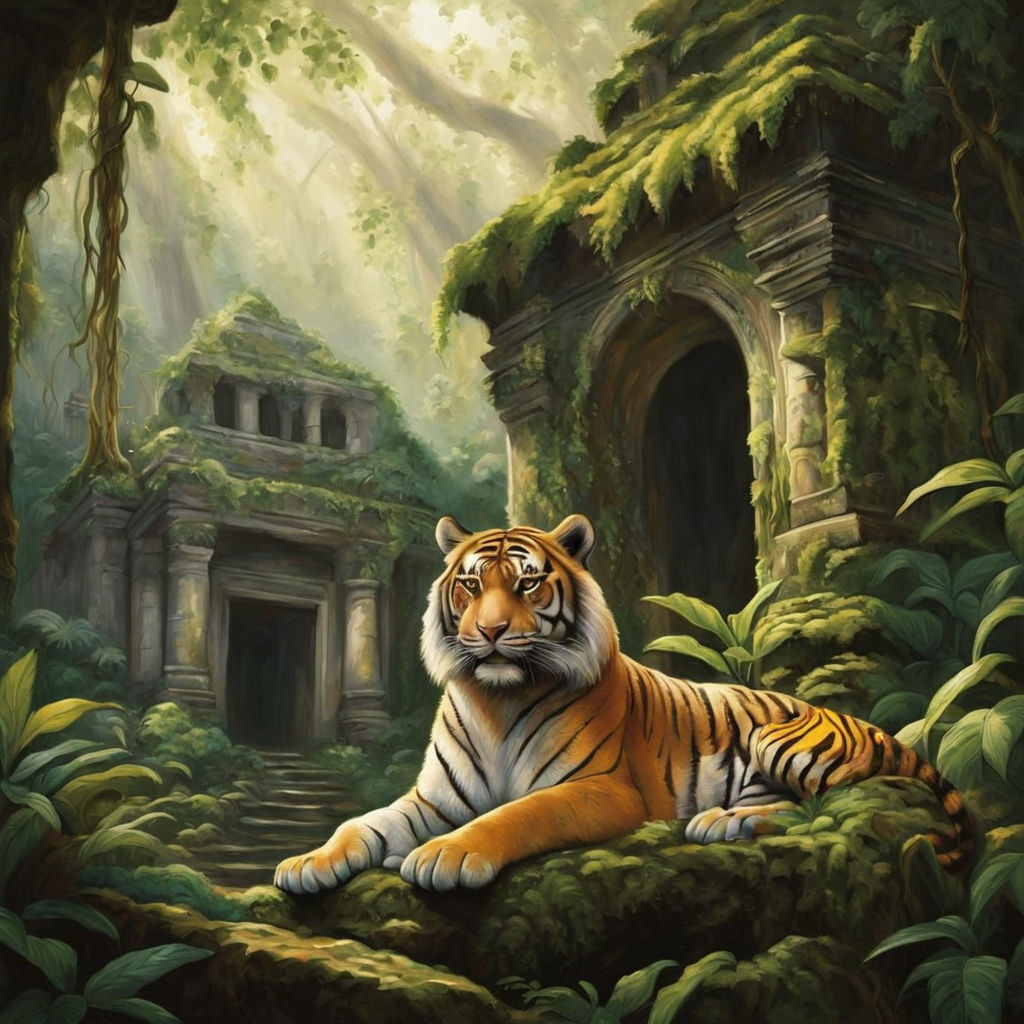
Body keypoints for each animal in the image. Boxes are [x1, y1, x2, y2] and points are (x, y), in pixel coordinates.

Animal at [274, 514, 973, 894]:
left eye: (528, 582)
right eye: (470, 584)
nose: (491, 632)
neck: (496, 699)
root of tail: (879, 729)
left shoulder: (601, 788)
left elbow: (515, 815)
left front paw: (446, 855)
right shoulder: (436, 798)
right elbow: (363, 823)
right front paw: (307, 863)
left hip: (778, 737)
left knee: (825, 802)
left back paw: (723, 824)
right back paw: (720, 821)